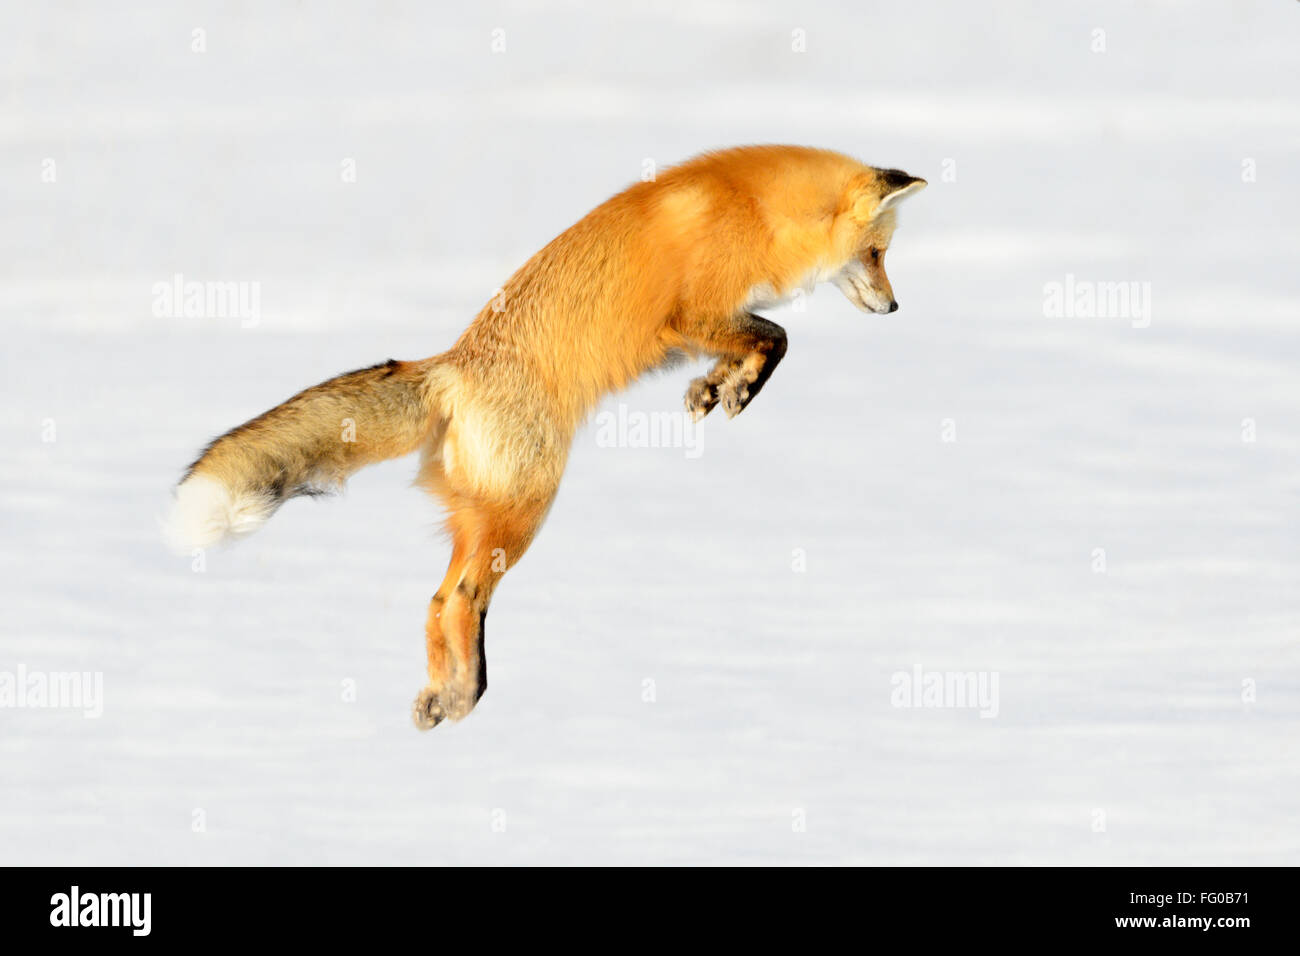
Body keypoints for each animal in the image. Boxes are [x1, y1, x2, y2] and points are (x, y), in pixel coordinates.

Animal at [170, 141, 925, 728]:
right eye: (877, 254)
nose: (895, 308)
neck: (754, 209)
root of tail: (453, 366)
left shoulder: (707, 325)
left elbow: (756, 344)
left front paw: (713, 390)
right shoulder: (693, 316)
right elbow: (779, 335)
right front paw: (733, 389)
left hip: (485, 513)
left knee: (436, 601)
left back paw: (443, 696)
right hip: (526, 507)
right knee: (463, 599)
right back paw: (468, 693)